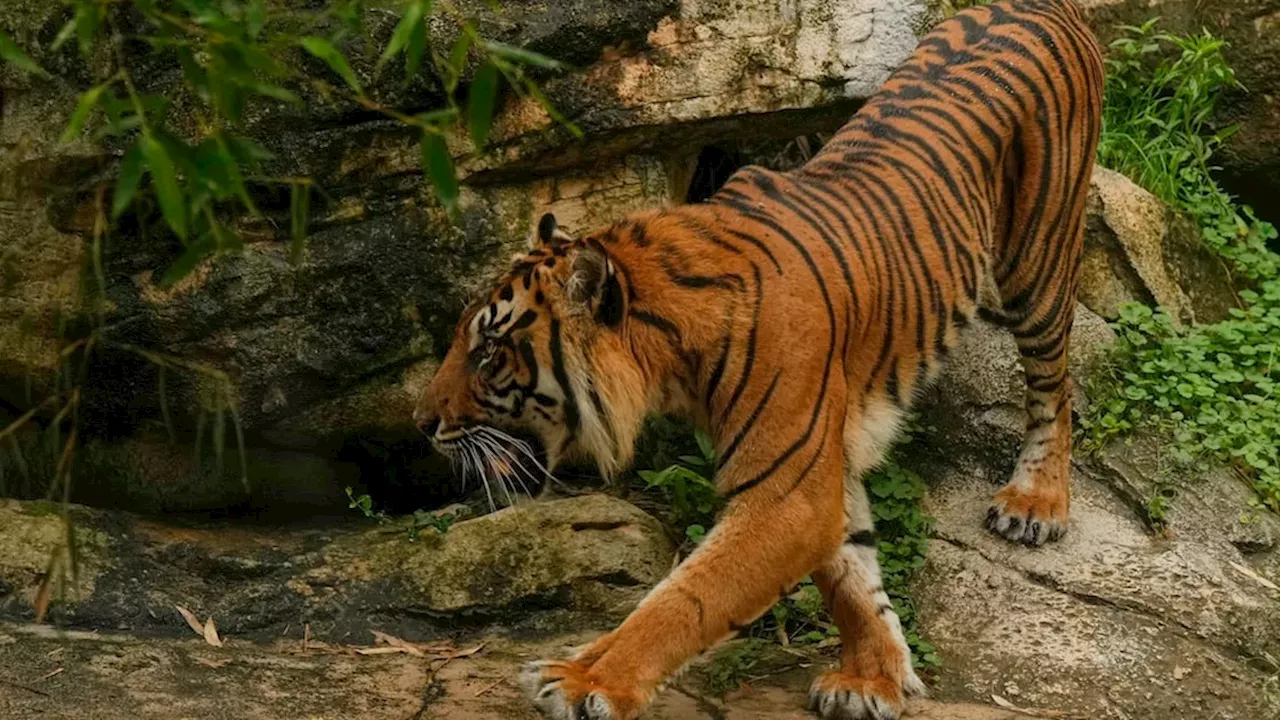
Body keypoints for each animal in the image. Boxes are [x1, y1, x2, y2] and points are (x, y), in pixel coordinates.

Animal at [411, 0, 1103, 717]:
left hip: (1038, 260)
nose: (420, 423)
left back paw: (1036, 502)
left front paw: (583, 680)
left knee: (1056, 386)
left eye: (489, 352)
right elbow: (852, 578)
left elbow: (686, 597)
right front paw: (874, 678)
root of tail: (1042, 7)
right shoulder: (825, 462)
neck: (670, 352)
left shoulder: (785, 492)